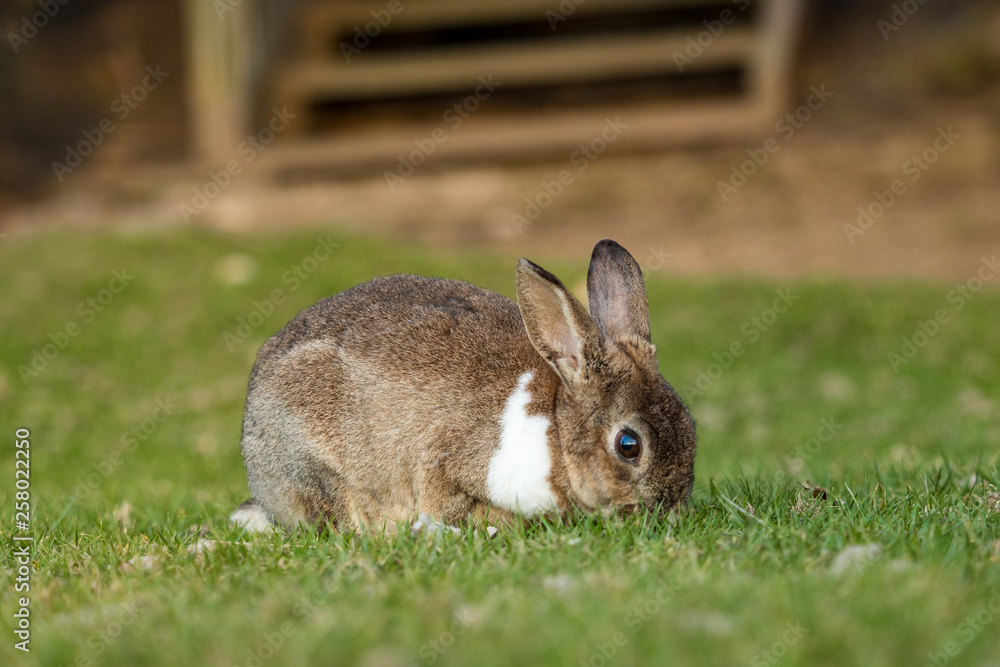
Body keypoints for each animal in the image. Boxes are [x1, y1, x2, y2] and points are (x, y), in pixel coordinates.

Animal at [230, 239, 696, 533]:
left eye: (690, 426)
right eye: (628, 445)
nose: (669, 509)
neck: (557, 433)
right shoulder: (444, 460)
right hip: (314, 461)